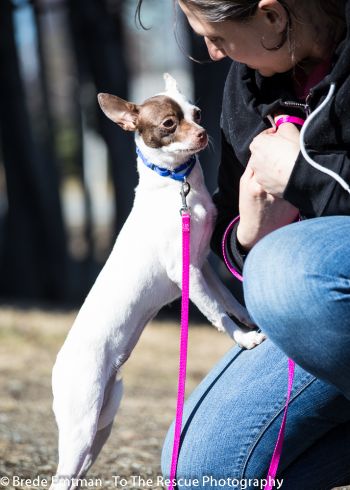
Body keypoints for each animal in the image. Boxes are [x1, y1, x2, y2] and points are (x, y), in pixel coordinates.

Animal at [50, 74, 266, 488]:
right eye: (169, 123)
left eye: (198, 113)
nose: (202, 133)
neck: (176, 186)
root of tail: (58, 366)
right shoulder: (188, 276)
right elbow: (218, 314)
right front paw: (246, 339)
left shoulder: (201, 267)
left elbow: (228, 302)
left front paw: (251, 318)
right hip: (81, 425)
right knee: (62, 476)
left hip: (102, 424)